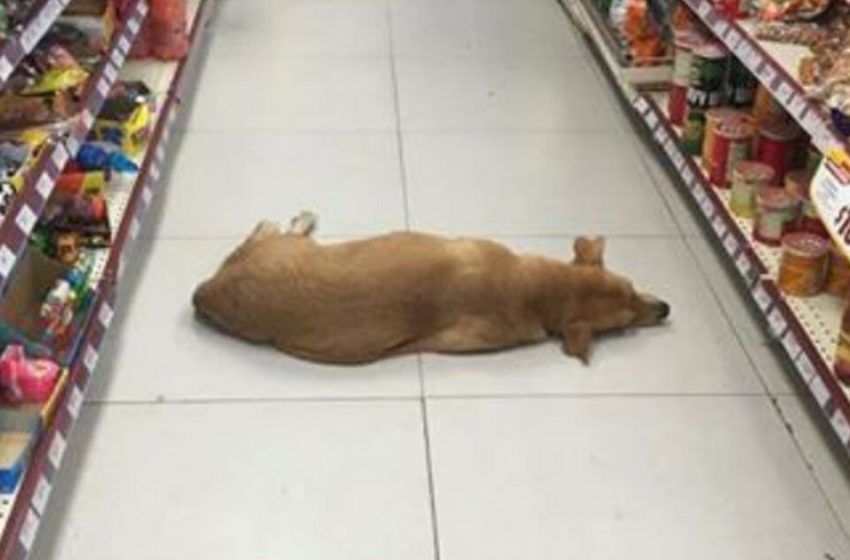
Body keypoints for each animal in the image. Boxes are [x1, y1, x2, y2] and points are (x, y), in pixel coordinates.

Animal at [192, 212, 668, 366]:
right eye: (625, 324)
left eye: (633, 289)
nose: (666, 308)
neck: (535, 289)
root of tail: (206, 292)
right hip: (284, 245)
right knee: (269, 225)